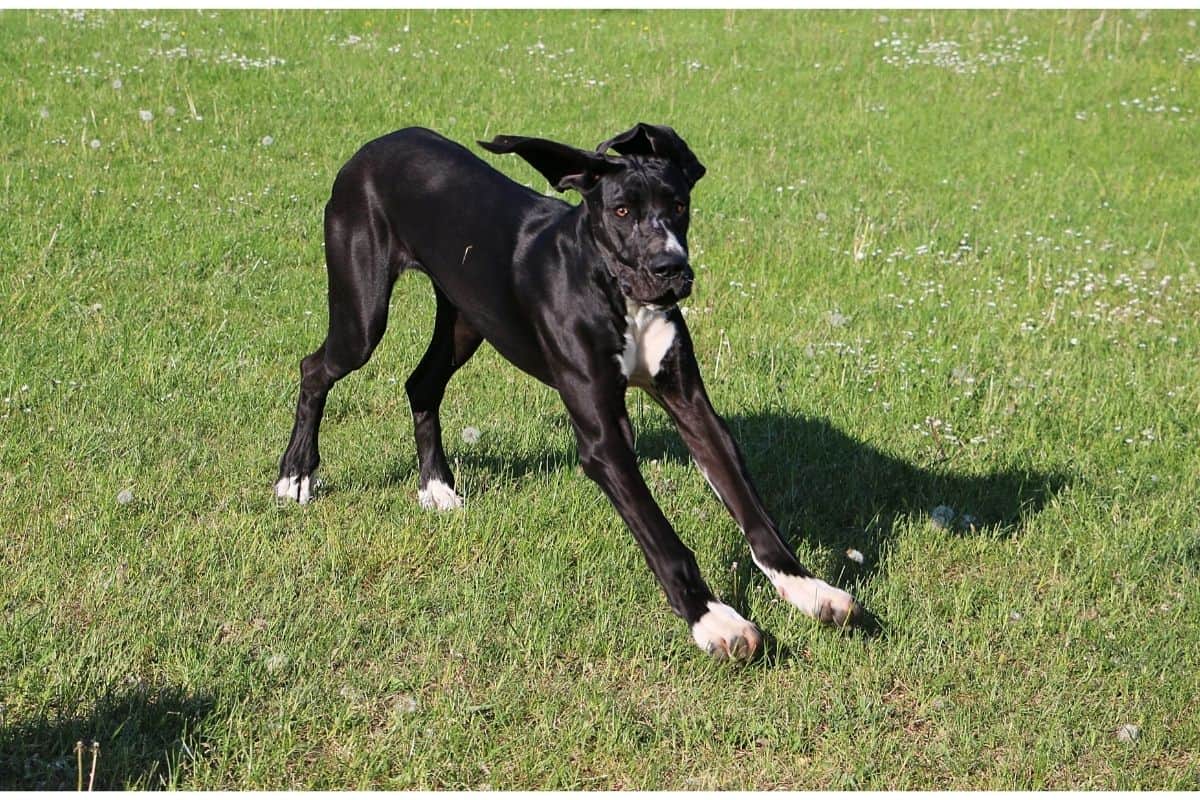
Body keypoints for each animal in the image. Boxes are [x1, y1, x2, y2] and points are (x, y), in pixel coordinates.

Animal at [278, 125, 864, 662]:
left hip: (466, 319)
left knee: (421, 382)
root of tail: (376, 144)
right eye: (622, 211)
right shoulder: (605, 438)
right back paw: (296, 474)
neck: (616, 290)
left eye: (678, 205)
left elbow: (752, 509)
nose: (671, 269)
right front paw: (713, 619)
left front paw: (807, 588)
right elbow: (662, 538)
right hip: (362, 316)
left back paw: (437, 487)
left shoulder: (693, 408)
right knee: (316, 369)